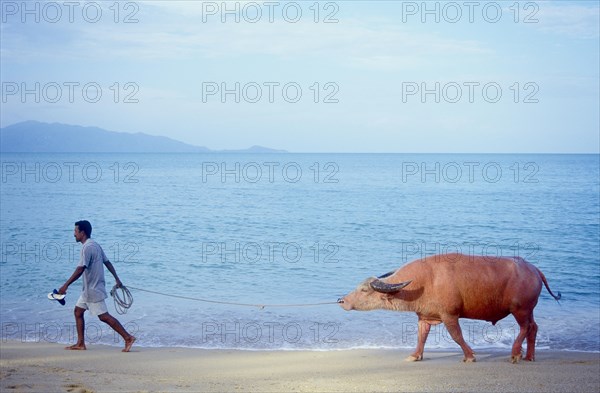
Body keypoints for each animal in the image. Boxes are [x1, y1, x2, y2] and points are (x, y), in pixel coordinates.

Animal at [338, 254, 564, 362]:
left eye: (364, 289)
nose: (342, 300)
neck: (425, 281)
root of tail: (533, 269)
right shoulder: (424, 318)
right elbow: (421, 337)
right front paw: (415, 355)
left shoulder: (450, 316)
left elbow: (457, 336)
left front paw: (470, 356)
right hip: (529, 310)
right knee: (533, 328)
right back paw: (529, 356)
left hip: (520, 310)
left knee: (525, 328)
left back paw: (516, 353)